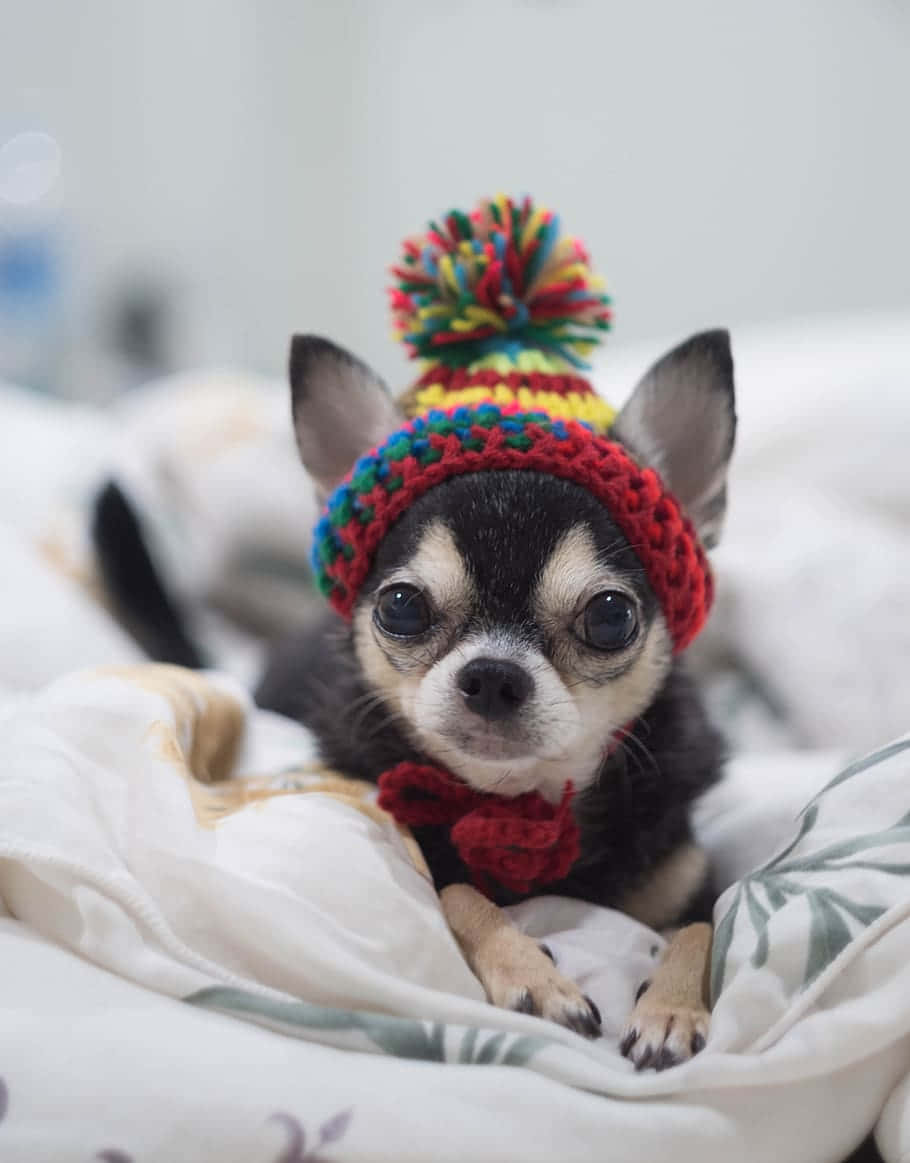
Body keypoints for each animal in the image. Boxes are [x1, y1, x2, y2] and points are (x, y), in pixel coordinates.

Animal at [254, 330, 735, 1069]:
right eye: (401, 606)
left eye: (611, 617)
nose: (492, 674)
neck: (523, 803)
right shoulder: (421, 852)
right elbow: (459, 894)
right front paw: (535, 977)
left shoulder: (690, 876)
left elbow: (702, 929)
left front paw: (671, 1010)